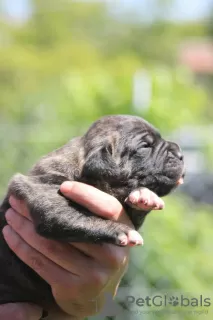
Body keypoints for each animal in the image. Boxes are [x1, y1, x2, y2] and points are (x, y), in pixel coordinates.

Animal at [0, 116, 184, 312]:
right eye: (145, 146)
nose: (181, 154)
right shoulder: (46, 192)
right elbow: (78, 216)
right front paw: (122, 230)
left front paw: (144, 195)